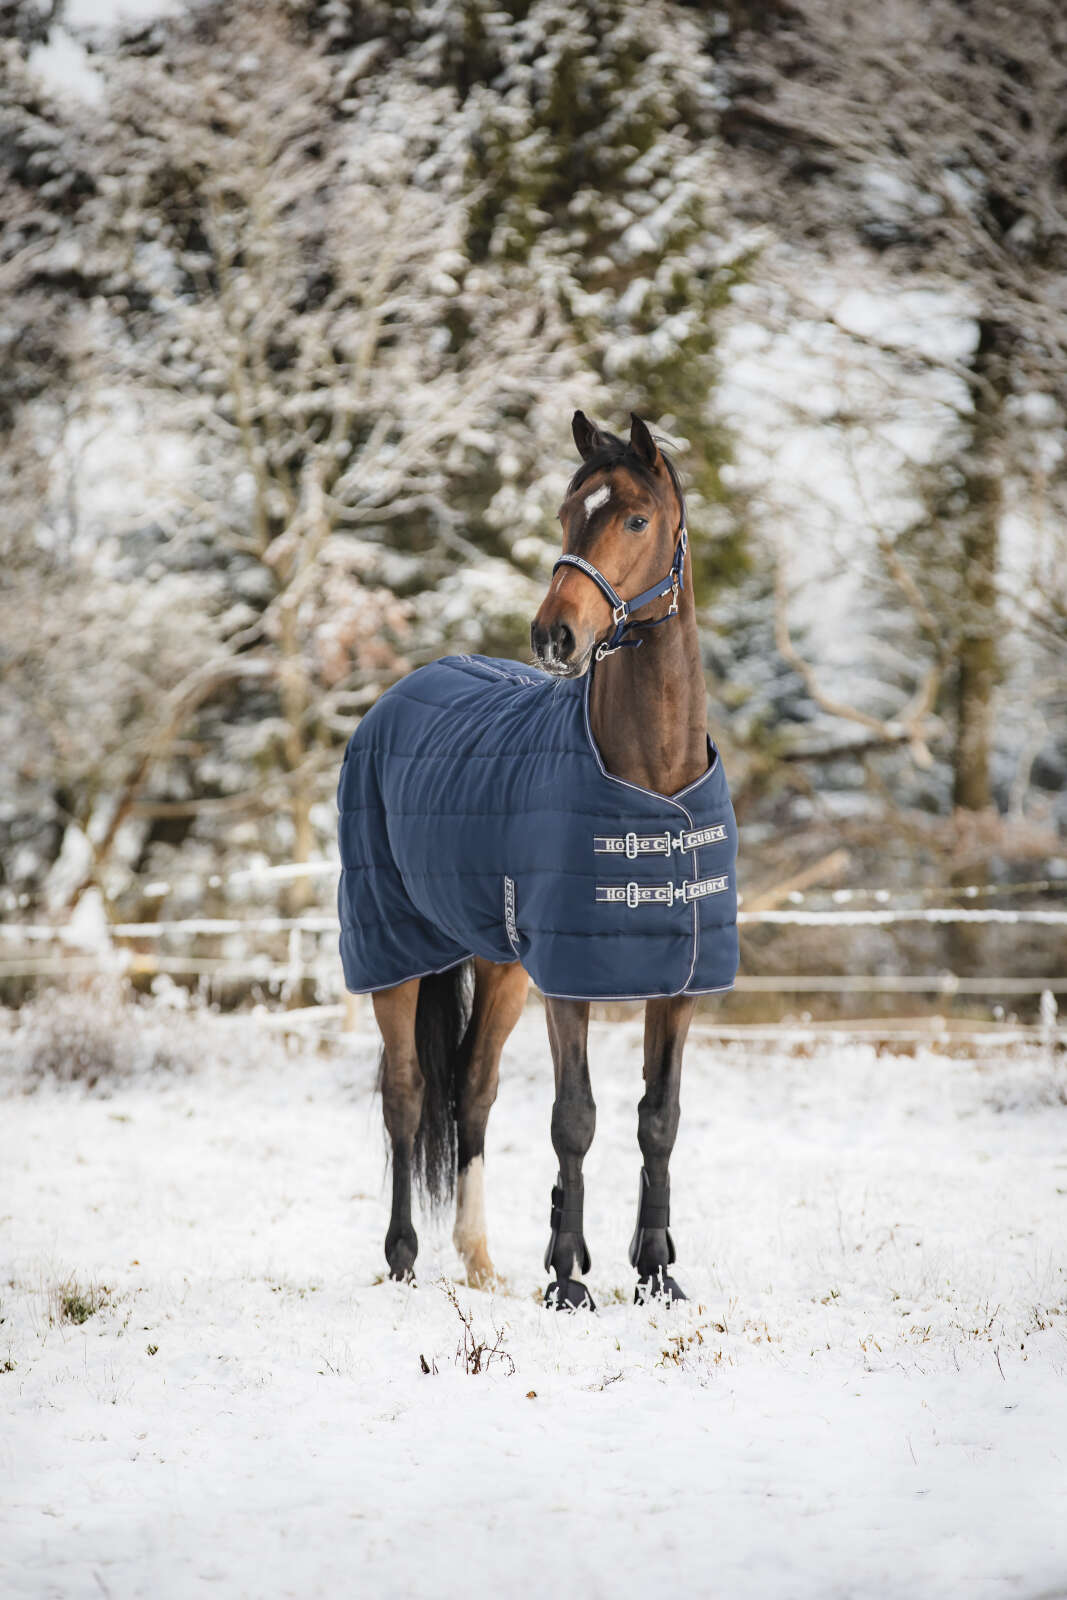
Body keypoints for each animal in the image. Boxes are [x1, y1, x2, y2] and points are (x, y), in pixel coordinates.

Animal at [337, 411, 738, 1308]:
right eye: (563, 515)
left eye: (635, 519)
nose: (554, 634)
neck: (652, 785)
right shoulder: (569, 980)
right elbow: (574, 1117)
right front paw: (567, 1279)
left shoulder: (679, 983)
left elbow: (658, 1118)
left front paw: (654, 1271)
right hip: (392, 951)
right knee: (407, 1094)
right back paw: (403, 1259)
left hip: (498, 963)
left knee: (472, 1094)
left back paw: (479, 1261)